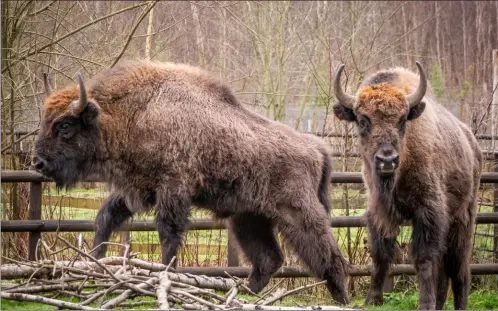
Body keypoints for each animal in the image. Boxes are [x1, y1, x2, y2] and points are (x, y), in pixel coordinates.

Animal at [32, 60, 350, 304]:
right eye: (45, 120)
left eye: (64, 125)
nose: (38, 163)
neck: (136, 113)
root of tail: (315, 147)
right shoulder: (136, 189)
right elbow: (105, 218)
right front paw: (96, 262)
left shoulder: (172, 191)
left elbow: (168, 235)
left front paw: (163, 276)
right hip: (248, 218)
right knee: (268, 259)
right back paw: (245, 294)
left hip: (298, 213)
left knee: (326, 253)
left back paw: (341, 298)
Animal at [330, 62, 482, 310]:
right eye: (362, 120)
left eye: (402, 121)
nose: (387, 160)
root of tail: (473, 144)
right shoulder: (378, 212)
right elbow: (381, 254)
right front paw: (372, 299)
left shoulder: (428, 213)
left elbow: (424, 259)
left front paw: (425, 303)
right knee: (445, 268)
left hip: (463, 218)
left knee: (458, 268)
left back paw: (459, 305)